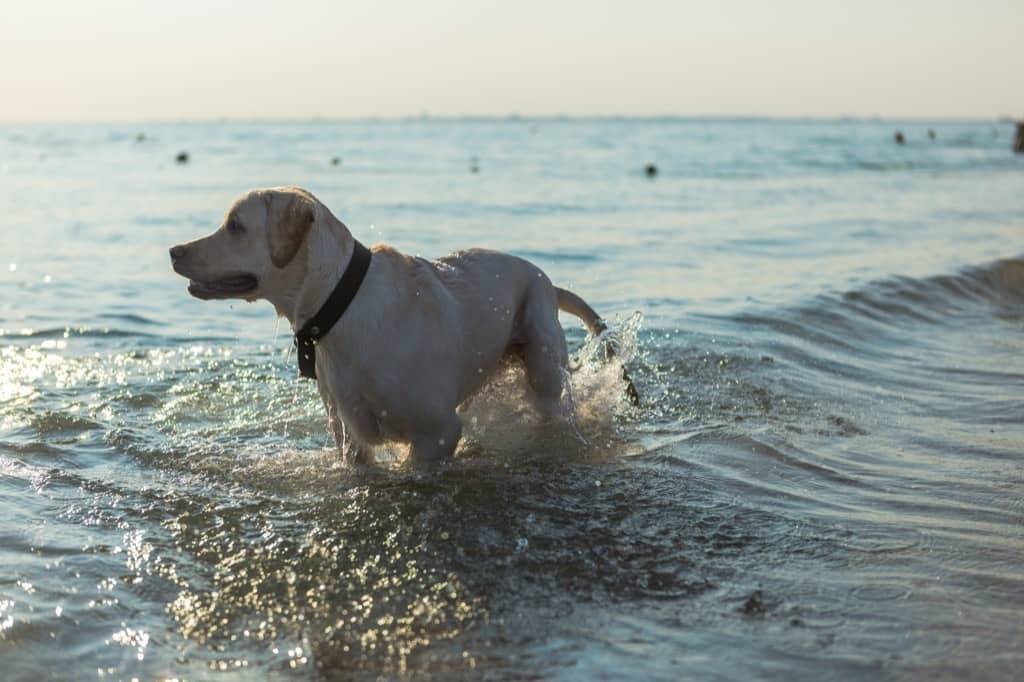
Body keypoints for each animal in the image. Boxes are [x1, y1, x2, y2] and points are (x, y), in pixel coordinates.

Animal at [169, 186, 630, 466]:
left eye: (235, 226)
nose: (173, 250)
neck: (341, 305)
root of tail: (546, 280)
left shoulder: (437, 432)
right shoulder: (347, 431)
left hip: (542, 359)